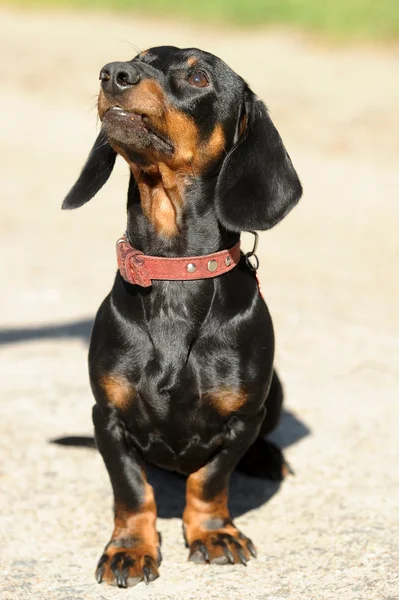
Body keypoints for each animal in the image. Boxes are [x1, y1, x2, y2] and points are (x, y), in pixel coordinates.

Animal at [62, 45, 302, 584]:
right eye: (137, 56)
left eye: (198, 77)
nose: (112, 73)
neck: (175, 270)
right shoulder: (107, 417)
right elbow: (133, 490)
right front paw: (130, 547)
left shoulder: (243, 419)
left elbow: (209, 480)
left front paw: (214, 533)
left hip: (274, 392)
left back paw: (269, 460)